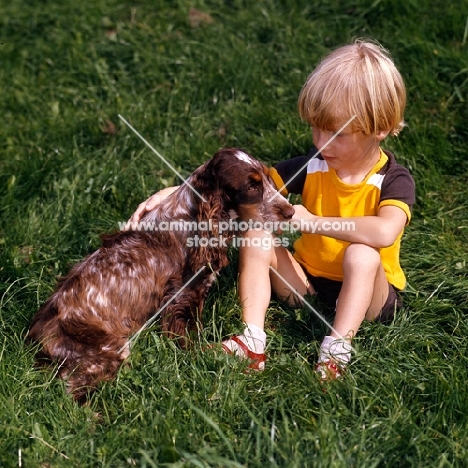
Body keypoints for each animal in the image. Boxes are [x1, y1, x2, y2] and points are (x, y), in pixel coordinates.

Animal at [26, 147, 292, 402]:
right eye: (251, 187)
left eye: (268, 179)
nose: (290, 212)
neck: (193, 216)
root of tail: (35, 337)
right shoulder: (181, 299)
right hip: (104, 354)